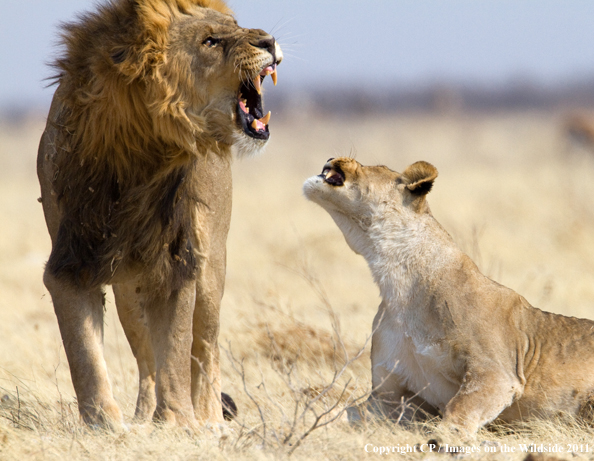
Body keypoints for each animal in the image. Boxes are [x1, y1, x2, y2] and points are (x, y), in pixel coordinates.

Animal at [38, 0, 280, 432]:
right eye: (210, 41)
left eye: (235, 25)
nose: (268, 41)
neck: (140, 157)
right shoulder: (71, 260)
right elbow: (84, 353)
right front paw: (104, 423)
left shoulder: (178, 260)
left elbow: (178, 349)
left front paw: (178, 422)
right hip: (128, 292)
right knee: (147, 359)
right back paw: (143, 415)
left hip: (211, 270)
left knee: (205, 348)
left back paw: (209, 419)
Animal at [302, 157, 592, 434]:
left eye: (377, 166)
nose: (332, 156)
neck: (399, 284)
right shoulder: (391, 396)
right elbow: (345, 413)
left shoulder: (497, 372)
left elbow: (461, 408)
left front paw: (443, 439)